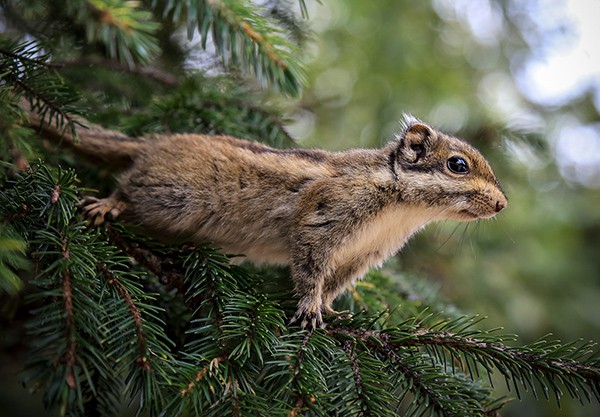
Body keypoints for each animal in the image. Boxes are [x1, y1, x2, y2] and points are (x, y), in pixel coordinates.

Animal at [25, 109, 508, 330]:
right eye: (458, 165)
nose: (503, 205)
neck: (402, 210)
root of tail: (154, 144)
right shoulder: (324, 217)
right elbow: (310, 266)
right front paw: (310, 308)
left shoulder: (364, 255)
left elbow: (335, 282)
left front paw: (331, 310)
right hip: (167, 194)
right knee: (128, 188)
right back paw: (110, 204)